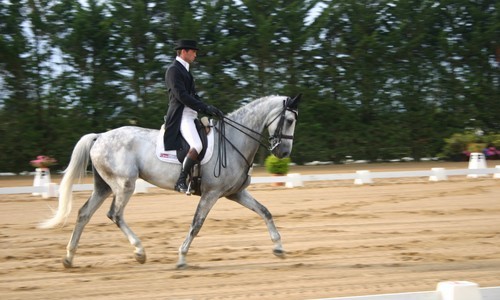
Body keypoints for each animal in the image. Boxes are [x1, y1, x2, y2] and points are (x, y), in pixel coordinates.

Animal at [39, 94, 300, 268]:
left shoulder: (235, 193)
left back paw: (69, 257)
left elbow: (265, 212)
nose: (283, 153)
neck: (233, 140)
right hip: (124, 185)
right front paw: (182, 257)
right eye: (288, 120)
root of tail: (100, 136)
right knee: (115, 214)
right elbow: (196, 224)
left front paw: (279, 247)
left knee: (84, 214)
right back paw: (139, 252)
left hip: (104, 187)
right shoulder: (212, 194)